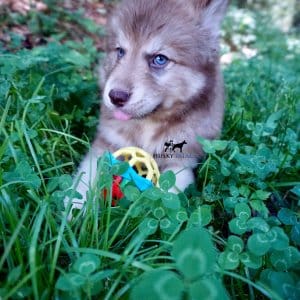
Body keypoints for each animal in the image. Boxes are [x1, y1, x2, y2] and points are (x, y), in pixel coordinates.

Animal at [67, 0, 227, 211]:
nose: (115, 97)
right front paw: (75, 209)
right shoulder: (104, 145)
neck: (148, 125)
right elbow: (85, 178)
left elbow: (167, 193)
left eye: (159, 59)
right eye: (120, 51)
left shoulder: (182, 161)